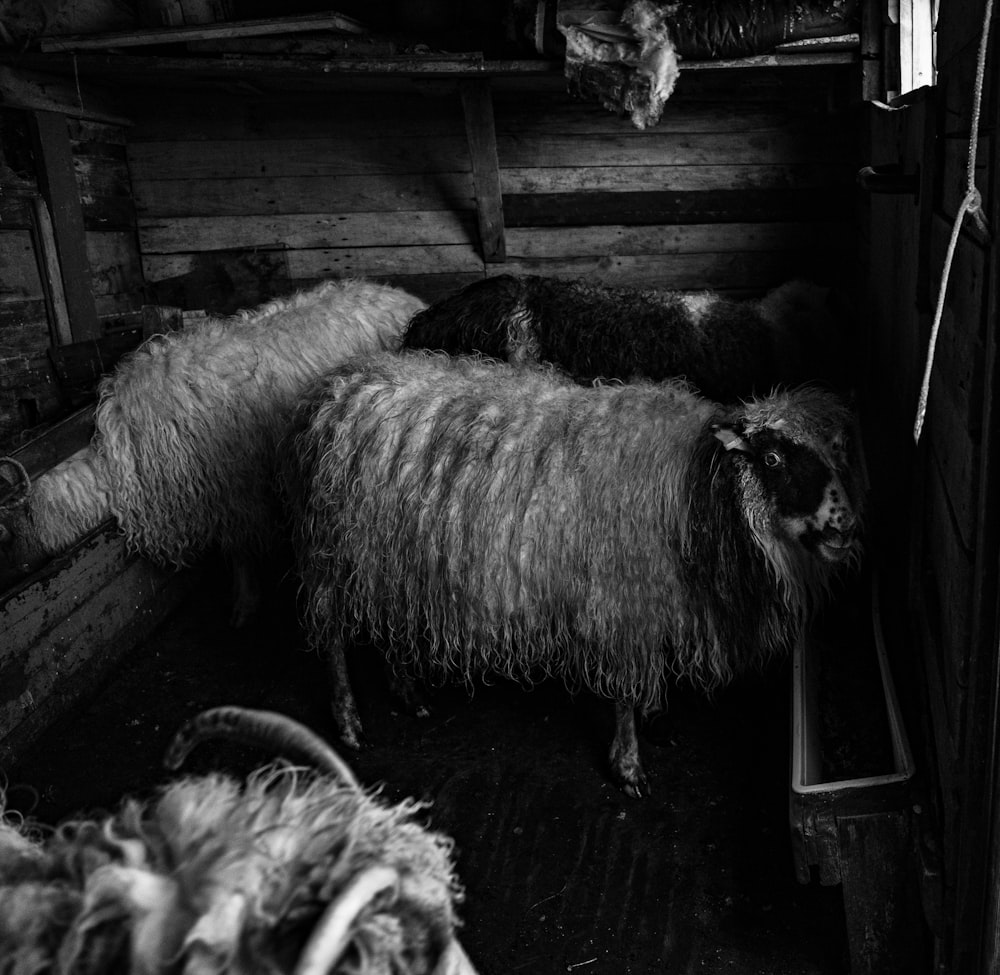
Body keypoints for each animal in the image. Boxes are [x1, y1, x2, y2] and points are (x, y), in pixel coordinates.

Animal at [282, 350, 868, 800]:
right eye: (772, 458)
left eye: (839, 451)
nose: (845, 527)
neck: (693, 488)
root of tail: (338, 386)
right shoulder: (622, 596)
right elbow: (626, 691)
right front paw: (629, 767)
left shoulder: (650, 594)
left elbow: (651, 667)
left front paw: (657, 719)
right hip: (335, 552)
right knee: (332, 637)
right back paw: (349, 722)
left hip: (391, 557)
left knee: (389, 621)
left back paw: (408, 694)